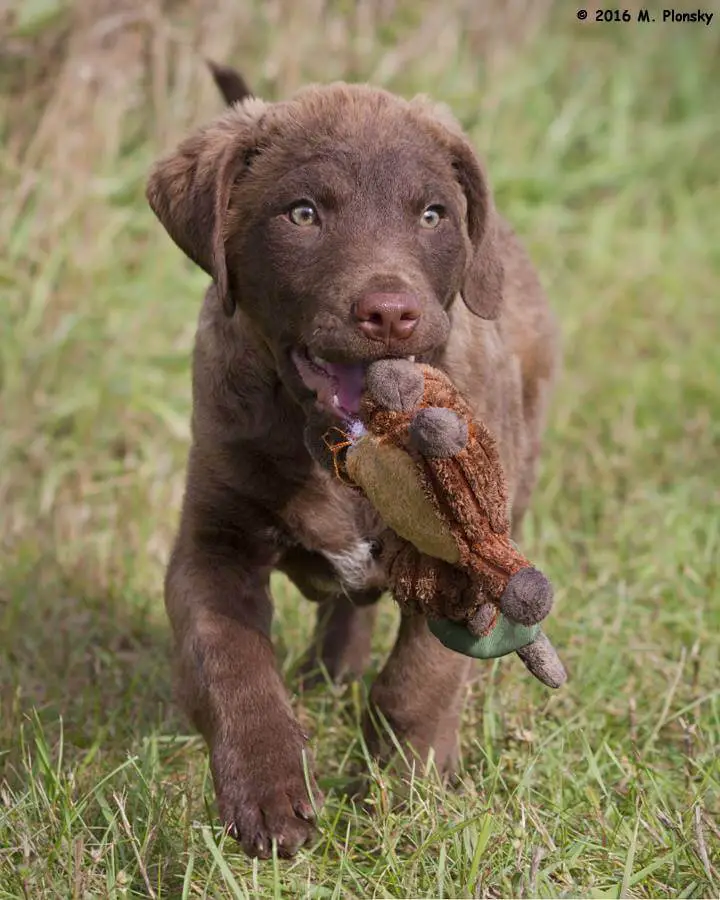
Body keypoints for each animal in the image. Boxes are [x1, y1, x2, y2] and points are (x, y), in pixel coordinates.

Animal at [146, 63, 560, 856]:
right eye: (303, 214)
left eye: (431, 215)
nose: (391, 313)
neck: (339, 445)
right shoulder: (212, 542)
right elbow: (230, 663)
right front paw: (269, 797)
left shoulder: (469, 551)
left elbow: (418, 680)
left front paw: (406, 790)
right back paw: (325, 673)